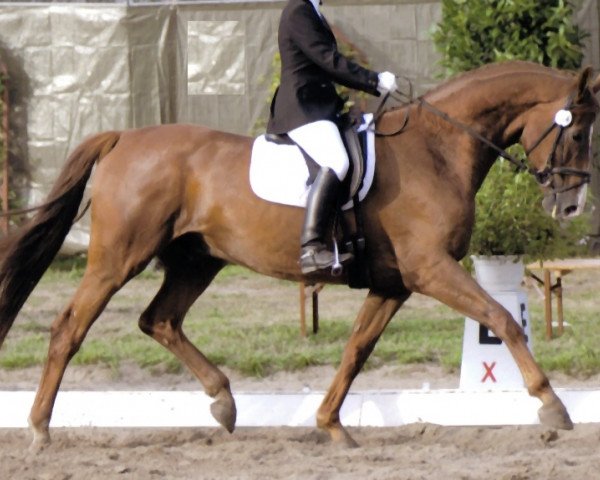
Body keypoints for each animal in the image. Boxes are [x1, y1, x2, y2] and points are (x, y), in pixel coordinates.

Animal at [0, 61, 596, 450]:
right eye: (578, 132)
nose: (571, 205)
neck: (436, 148)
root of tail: (124, 137)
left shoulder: (394, 283)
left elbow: (357, 349)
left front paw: (331, 423)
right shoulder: (431, 270)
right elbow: (502, 318)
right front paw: (552, 406)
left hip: (198, 260)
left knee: (160, 320)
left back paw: (223, 402)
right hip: (117, 259)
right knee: (70, 327)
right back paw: (40, 428)